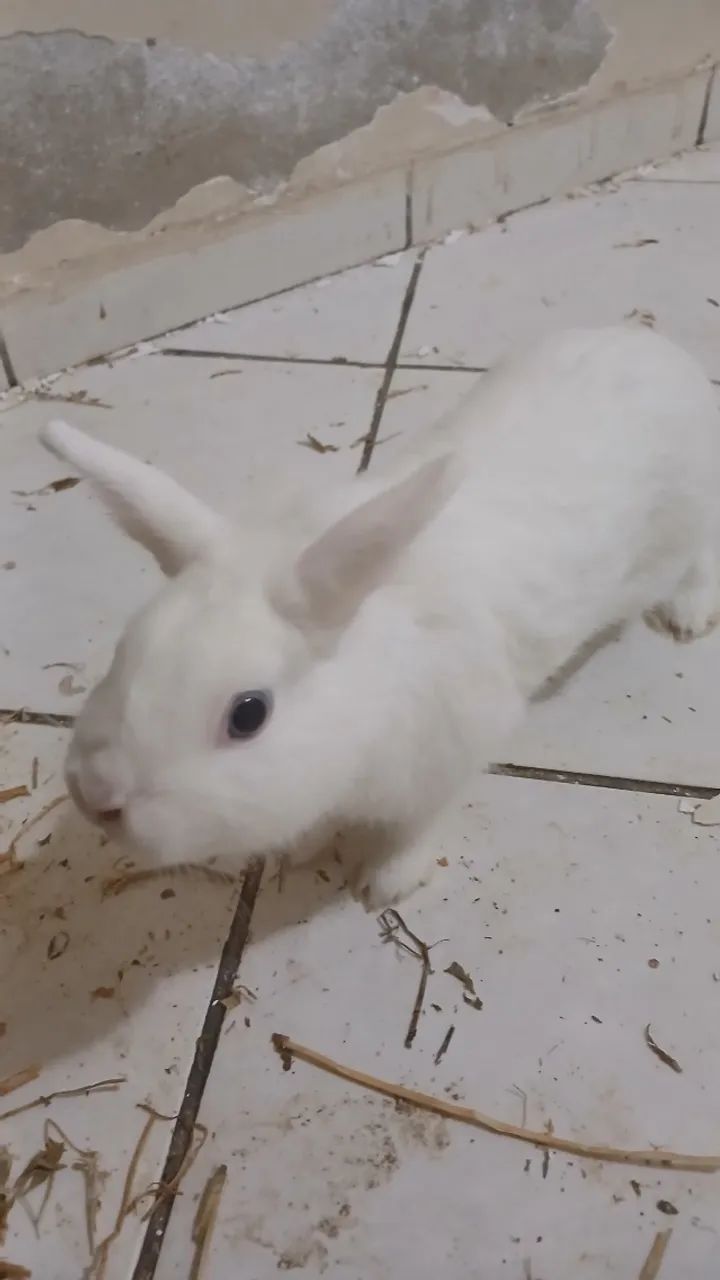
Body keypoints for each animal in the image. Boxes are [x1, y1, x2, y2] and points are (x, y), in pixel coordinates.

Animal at [39, 325, 720, 908]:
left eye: (248, 714)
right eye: (126, 649)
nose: (95, 795)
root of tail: (657, 349)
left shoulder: (452, 753)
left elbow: (415, 827)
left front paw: (384, 885)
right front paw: (302, 849)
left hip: (683, 525)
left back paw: (686, 615)